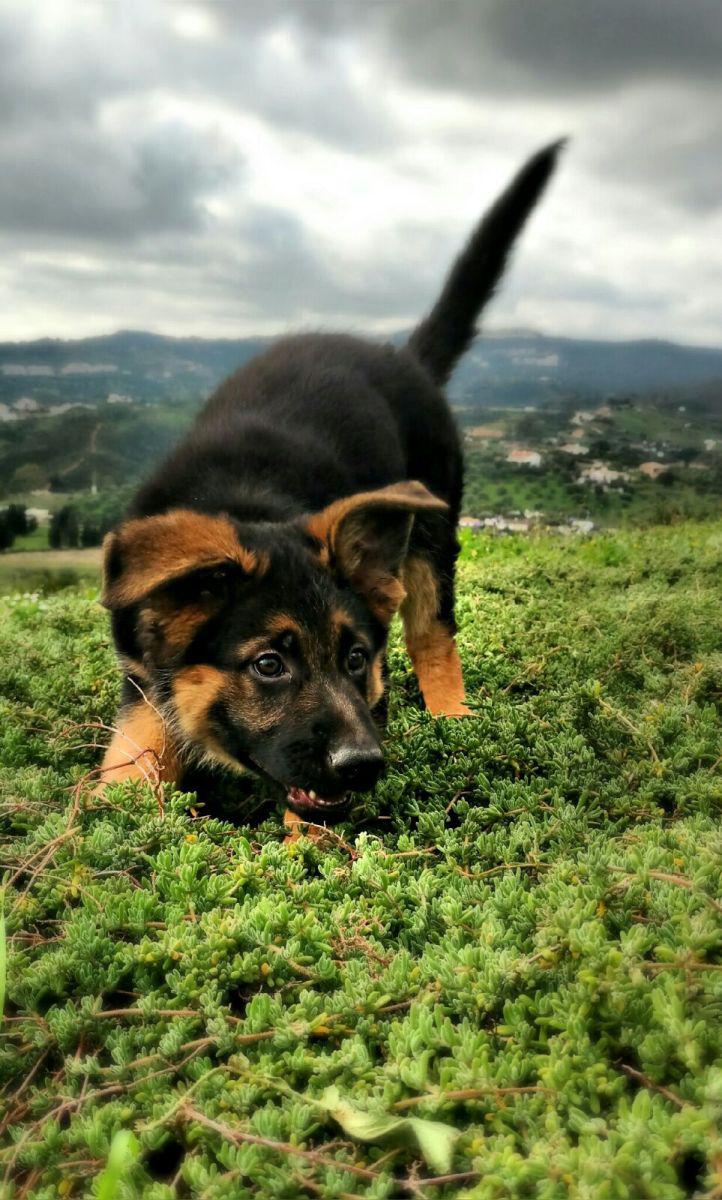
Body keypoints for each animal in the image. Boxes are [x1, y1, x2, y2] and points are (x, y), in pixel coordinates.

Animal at [99, 140, 561, 825]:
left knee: (433, 635)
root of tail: (402, 357)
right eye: (269, 665)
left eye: (354, 658)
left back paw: (455, 724)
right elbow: (129, 767)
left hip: (431, 534)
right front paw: (103, 831)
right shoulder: (145, 684)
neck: (242, 505)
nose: (364, 767)